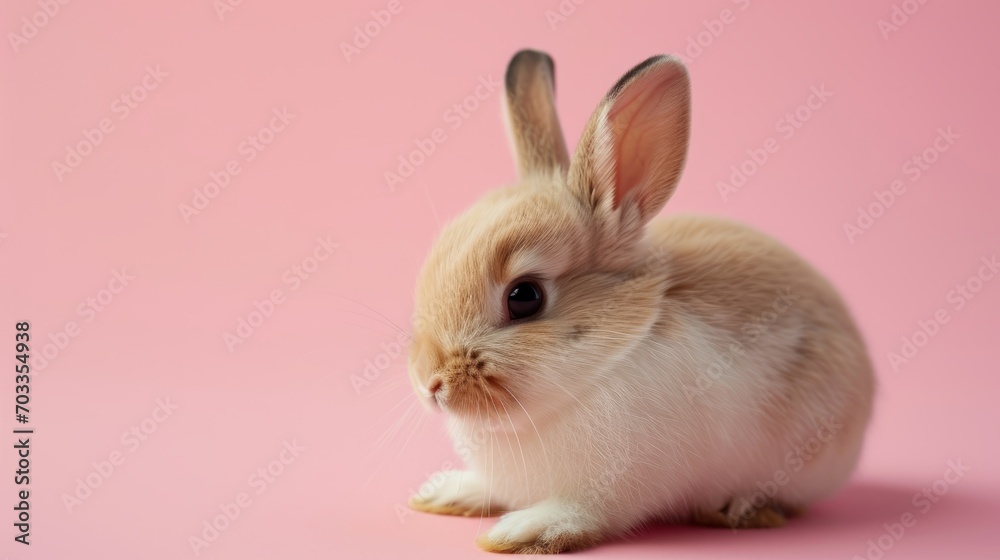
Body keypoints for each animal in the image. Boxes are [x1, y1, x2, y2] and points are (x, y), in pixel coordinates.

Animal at [406, 49, 876, 556]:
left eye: (525, 297)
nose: (429, 382)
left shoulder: (615, 489)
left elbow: (585, 513)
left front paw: (523, 530)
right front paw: (447, 492)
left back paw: (740, 507)